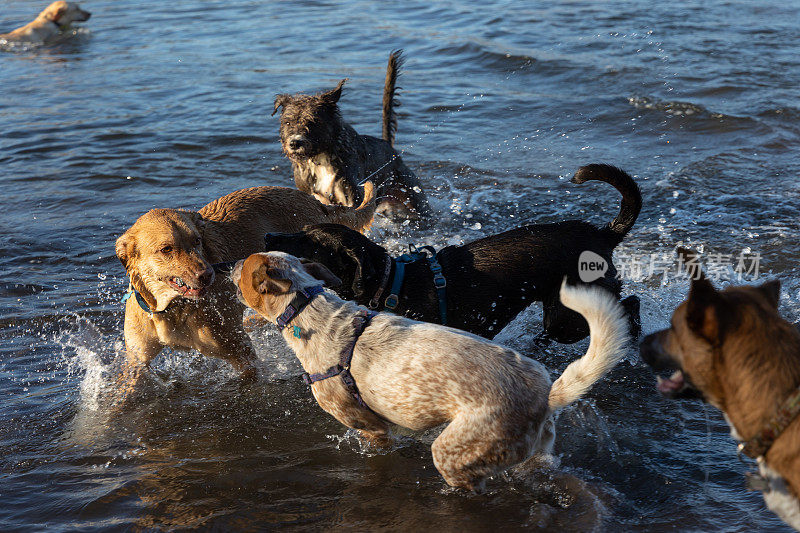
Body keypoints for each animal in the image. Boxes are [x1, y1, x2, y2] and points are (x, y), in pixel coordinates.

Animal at [116, 183, 376, 400]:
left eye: (197, 241)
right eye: (166, 249)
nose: (207, 274)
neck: (172, 308)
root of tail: (315, 202)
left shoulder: (242, 354)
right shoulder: (137, 362)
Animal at [233, 251, 632, 488]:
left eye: (244, 269)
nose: (228, 265)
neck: (307, 309)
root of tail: (546, 394)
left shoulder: (372, 428)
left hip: (452, 452)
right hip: (534, 453)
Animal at [266, 164, 640, 342]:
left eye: (312, 242)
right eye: (300, 228)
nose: (269, 234)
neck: (393, 283)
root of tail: (602, 233)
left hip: (566, 319)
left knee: (627, 306)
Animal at [272, 48, 428, 218]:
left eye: (313, 121)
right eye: (287, 122)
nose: (294, 143)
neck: (320, 158)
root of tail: (389, 147)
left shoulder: (353, 198)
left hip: (414, 198)